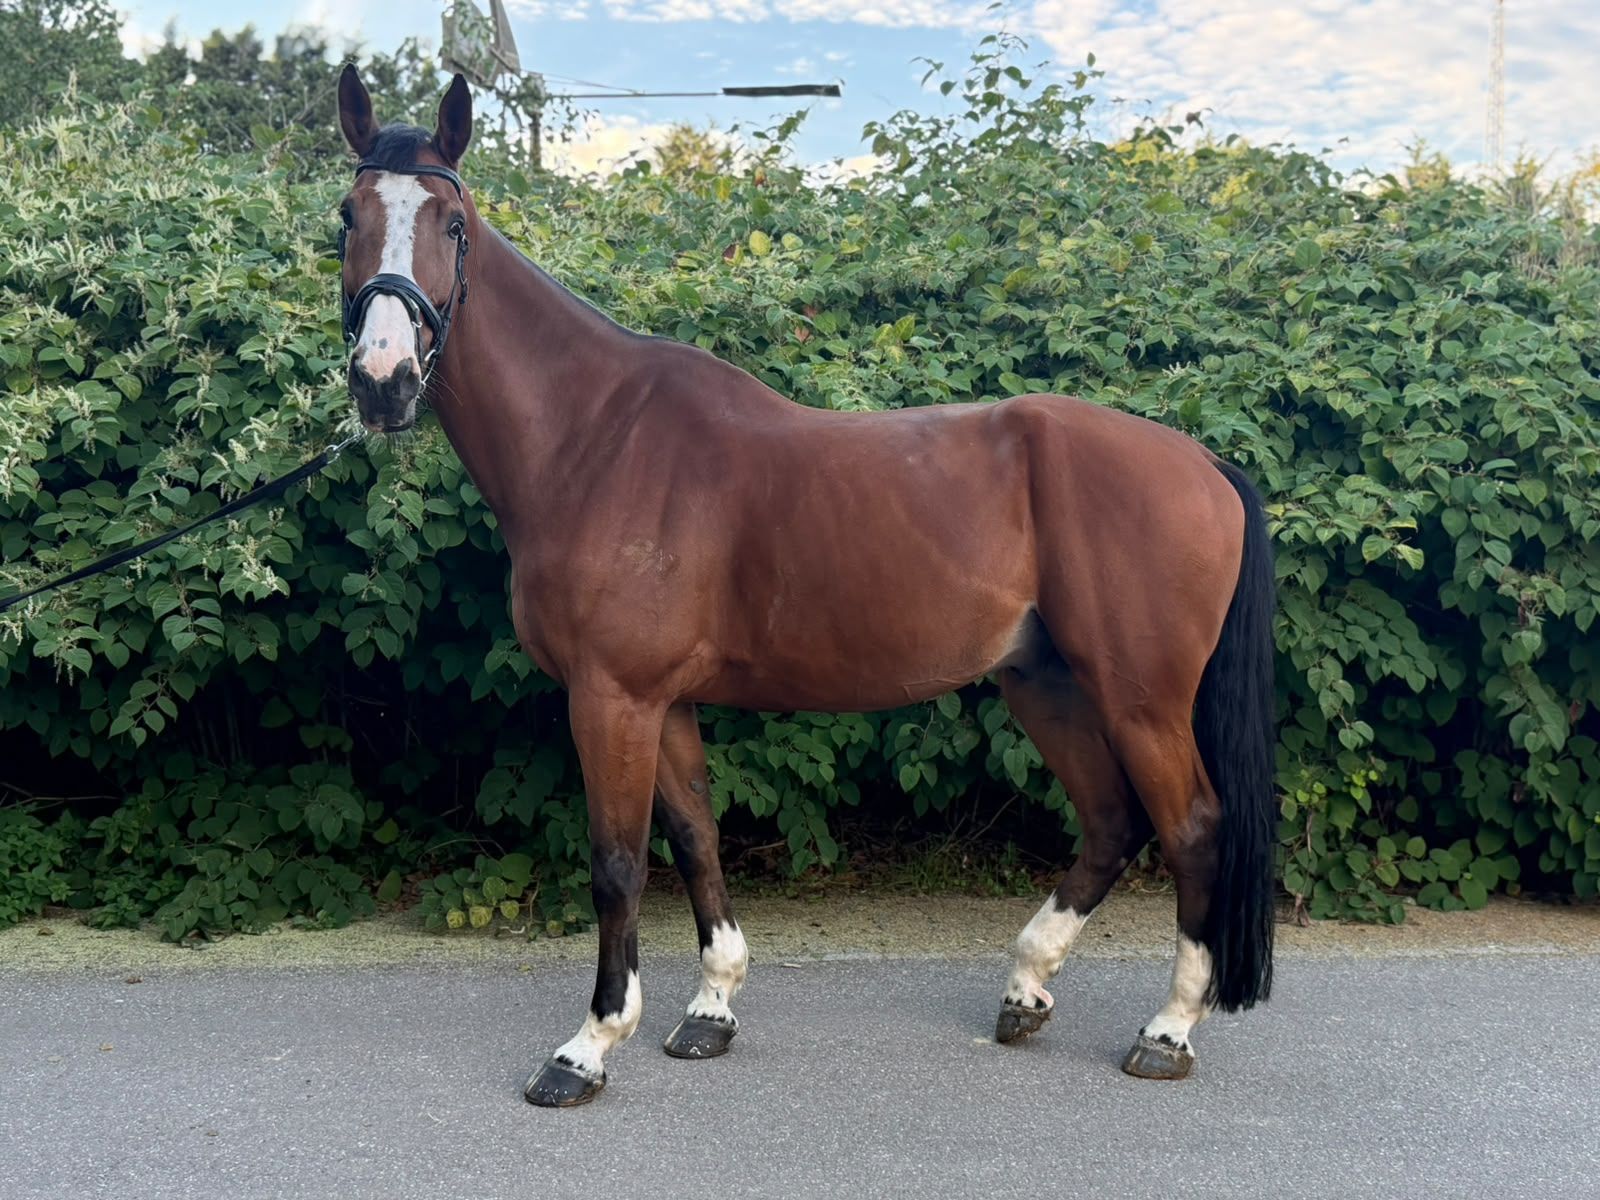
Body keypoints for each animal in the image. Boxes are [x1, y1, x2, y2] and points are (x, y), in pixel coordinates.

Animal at [333, 66, 1277, 1107]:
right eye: (347, 216)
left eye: (453, 224)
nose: (383, 379)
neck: (597, 438)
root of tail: (1205, 465)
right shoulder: (661, 702)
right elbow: (697, 840)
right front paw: (710, 1011)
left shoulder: (610, 698)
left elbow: (617, 863)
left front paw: (586, 1047)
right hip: (1046, 682)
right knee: (1112, 821)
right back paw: (1025, 989)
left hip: (1140, 698)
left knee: (1192, 828)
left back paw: (1167, 1030)